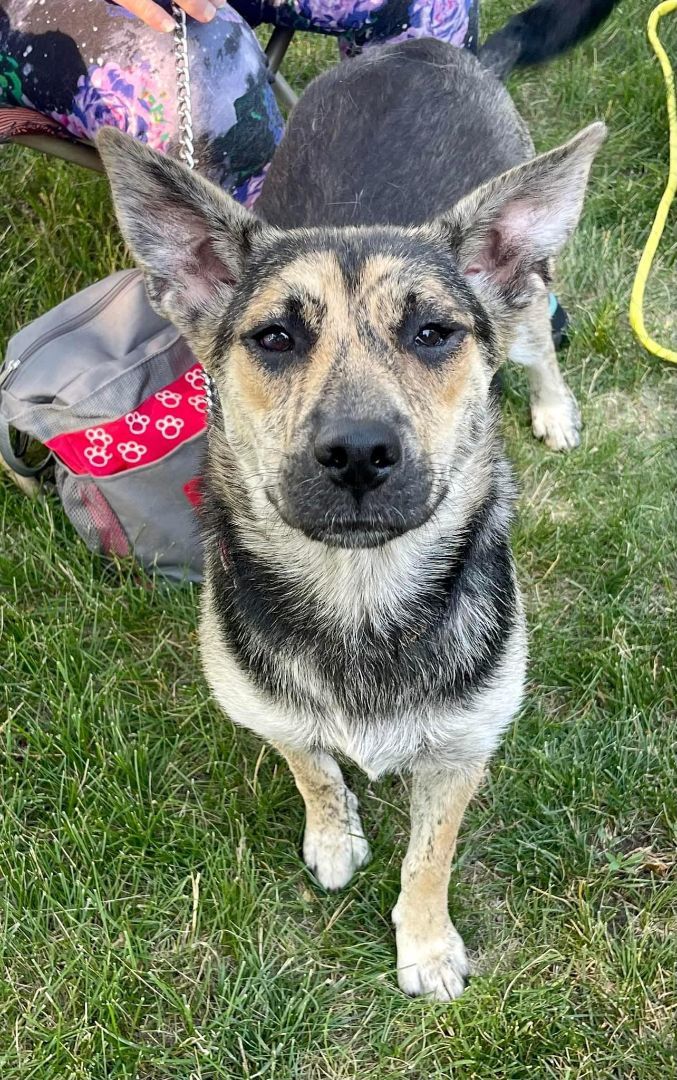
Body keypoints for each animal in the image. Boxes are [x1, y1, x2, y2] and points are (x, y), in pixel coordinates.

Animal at [99, 10, 608, 1002]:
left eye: (433, 332)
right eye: (273, 337)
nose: (360, 453)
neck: (359, 595)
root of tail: (425, 45)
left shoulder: (462, 749)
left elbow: (431, 854)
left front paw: (427, 944)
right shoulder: (263, 705)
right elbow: (310, 765)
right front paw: (332, 835)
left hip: (528, 298)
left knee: (539, 340)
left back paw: (553, 407)